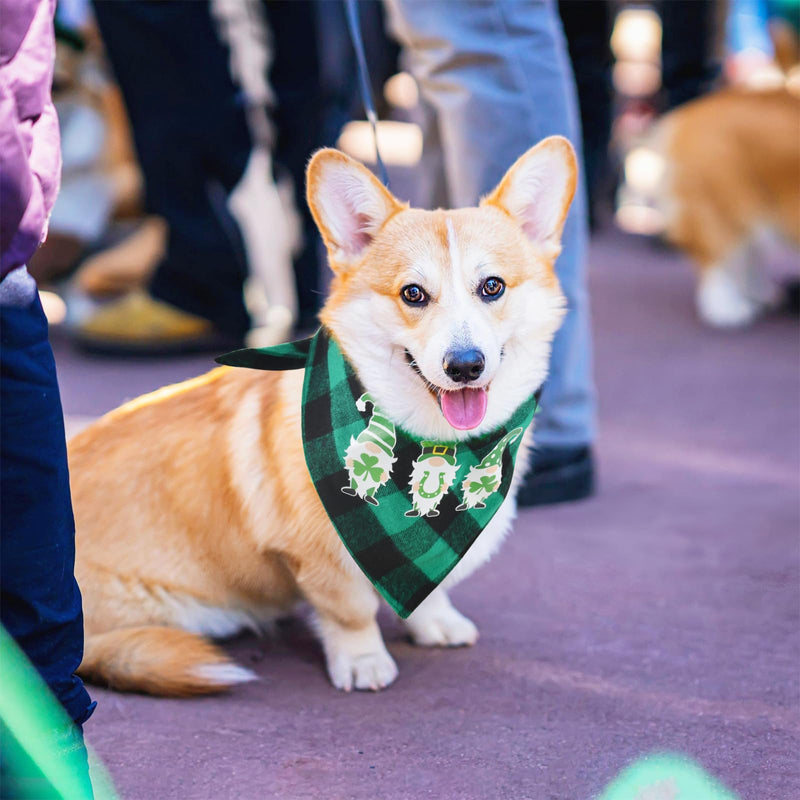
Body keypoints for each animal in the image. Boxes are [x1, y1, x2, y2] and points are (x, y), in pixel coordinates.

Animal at [67, 138, 568, 692]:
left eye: (492, 287)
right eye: (413, 293)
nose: (464, 366)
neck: (437, 445)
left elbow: (430, 588)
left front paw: (437, 624)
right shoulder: (320, 558)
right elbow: (351, 612)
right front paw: (363, 661)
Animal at [624, 86, 800, 324]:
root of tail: (686, 115)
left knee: (747, 251)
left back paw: (759, 294)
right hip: (723, 206)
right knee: (717, 258)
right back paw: (727, 309)